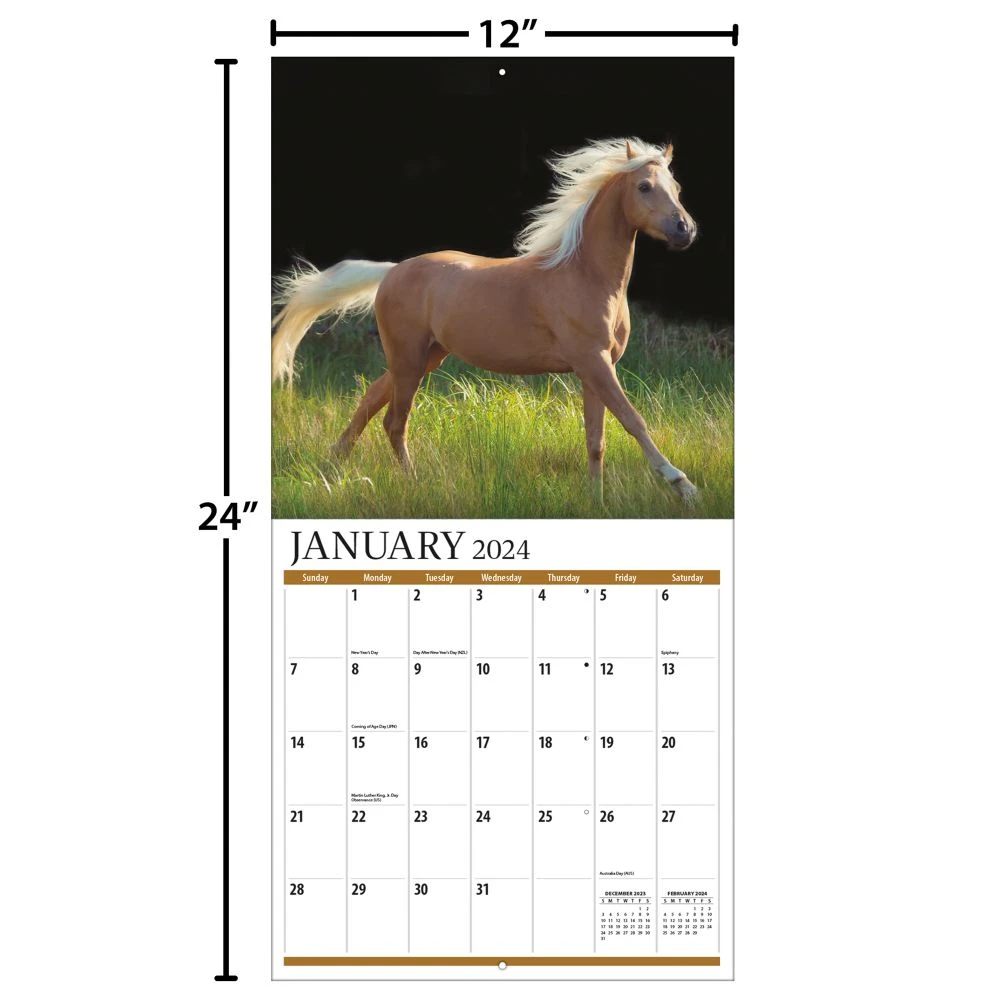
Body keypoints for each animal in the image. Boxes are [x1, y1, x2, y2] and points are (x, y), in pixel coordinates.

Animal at [271, 137, 699, 502]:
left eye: (676, 186)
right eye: (644, 186)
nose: (685, 230)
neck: (585, 275)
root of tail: (393, 270)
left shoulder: (596, 367)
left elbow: (596, 438)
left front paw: (596, 499)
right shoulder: (592, 362)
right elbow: (633, 420)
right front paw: (683, 486)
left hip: (424, 357)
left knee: (369, 401)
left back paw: (332, 466)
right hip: (409, 360)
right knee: (394, 421)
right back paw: (413, 483)